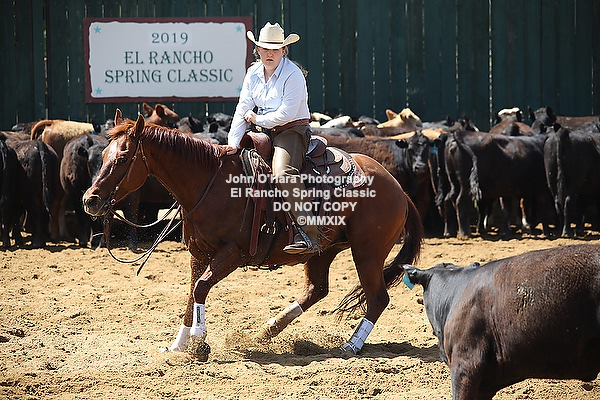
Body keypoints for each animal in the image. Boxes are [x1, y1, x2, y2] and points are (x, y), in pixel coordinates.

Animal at [83, 110, 424, 358]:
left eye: (123, 158)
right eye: (103, 155)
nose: (90, 200)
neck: (211, 183)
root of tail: (397, 187)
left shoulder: (232, 253)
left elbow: (202, 288)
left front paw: (200, 342)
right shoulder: (198, 253)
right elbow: (191, 294)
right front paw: (179, 344)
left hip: (368, 251)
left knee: (378, 298)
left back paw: (350, 345)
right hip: (324, 249)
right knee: (316, 290)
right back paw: (264, 332)